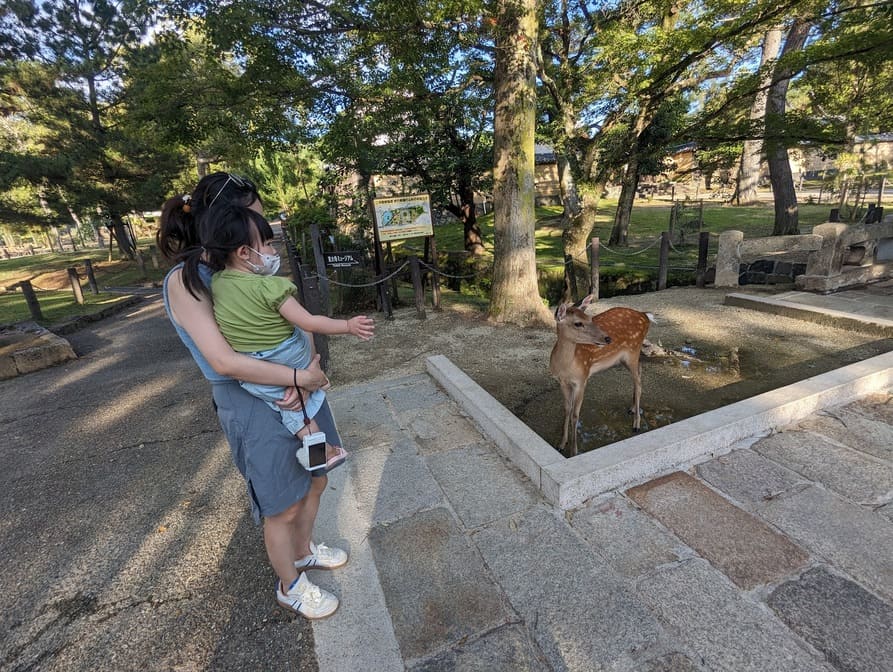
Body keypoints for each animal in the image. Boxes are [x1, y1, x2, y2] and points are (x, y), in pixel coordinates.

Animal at [549, 295, 653, 456]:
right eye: (578, 323)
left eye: (589, 318)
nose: (608, 338)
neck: (565, 367)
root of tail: (645, 316)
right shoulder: (562, 382)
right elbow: (566, 409)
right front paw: (561, 444)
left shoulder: (582, 379)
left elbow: (575, 415)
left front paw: (574, 451)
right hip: (625, 358)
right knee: (640, 371)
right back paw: (632, 408)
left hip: (633, 350)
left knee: (639, 383)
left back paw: (636, 424)